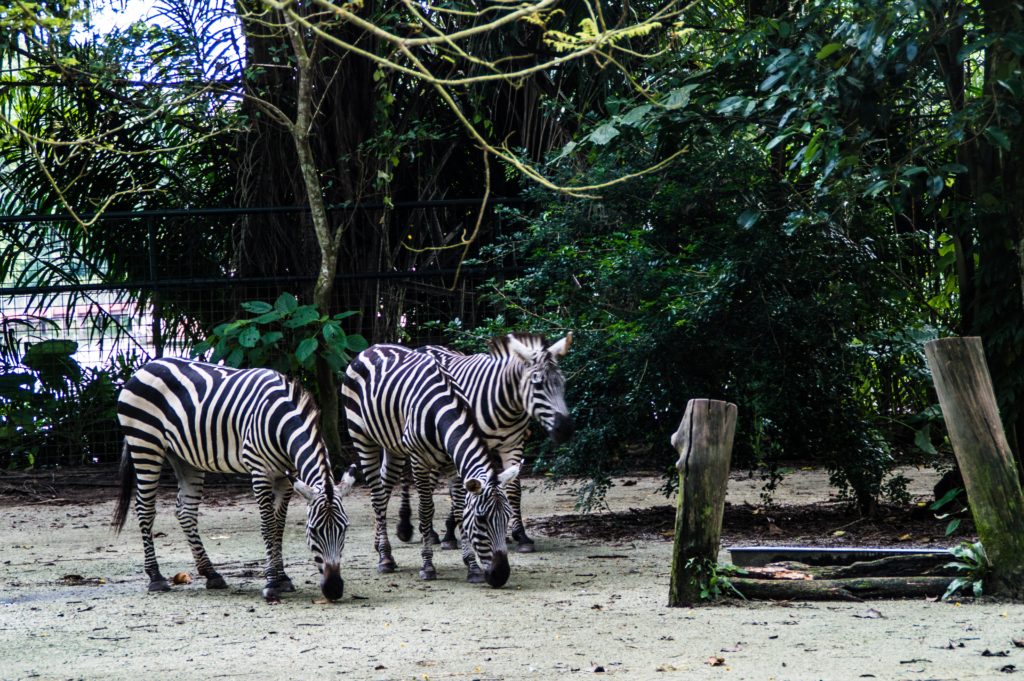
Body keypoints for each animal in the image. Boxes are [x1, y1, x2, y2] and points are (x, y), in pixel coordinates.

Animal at [113, 356, 356, 602]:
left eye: (345, 528)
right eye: (313, 530)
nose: (334, 589)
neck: (280, 423)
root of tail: (145, 367)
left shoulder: (287, 477)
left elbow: (279, 526)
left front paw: (283, 578)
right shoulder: (260, 471)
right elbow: (268, 526)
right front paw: (271, 583)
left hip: (184, 457)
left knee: (186, 512)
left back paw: (211, 574)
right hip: (145, 444)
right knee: (145, 508)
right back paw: (156, 577)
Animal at [344, 342, 520, 585]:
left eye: (507, 517)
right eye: (481, 519)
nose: (501, 575)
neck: (441, 412)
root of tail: (372, 347)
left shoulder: (453, 464)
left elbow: (459, 509)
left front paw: (472, 567)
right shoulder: (418, 460)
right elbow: (426, 510)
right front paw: (427, 565)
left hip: (393, 446)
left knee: (385, 487)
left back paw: (382, 547)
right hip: (361, 437)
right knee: (378, 496)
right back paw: (385, 558)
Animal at [395, 329, 577, 552]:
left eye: (563, 383)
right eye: (538, 385)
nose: (566, 430)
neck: (505, 403)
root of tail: (423, 346)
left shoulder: (513, 445)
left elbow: (513, 489)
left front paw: (521, 535)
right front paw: (450, 533)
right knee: (408, 475)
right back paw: (410, 528)